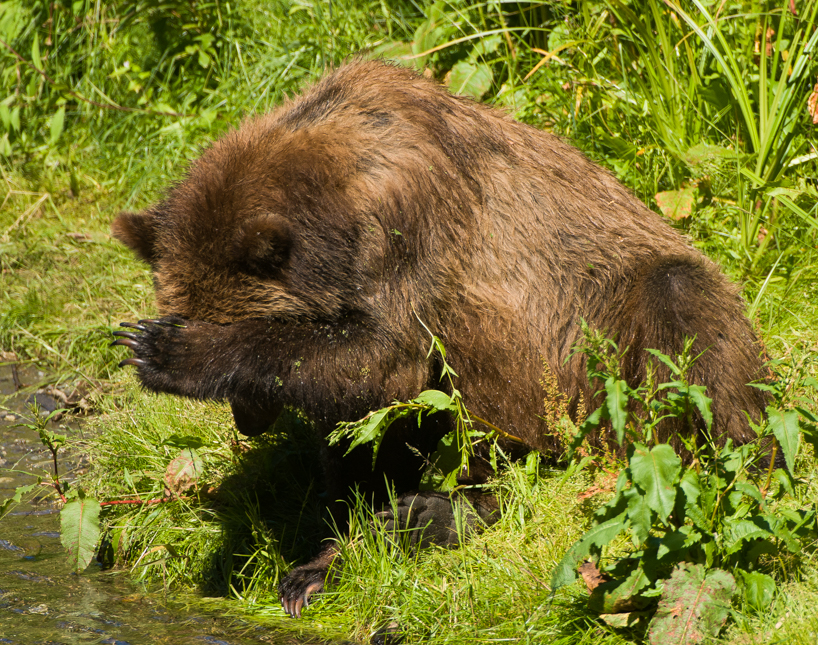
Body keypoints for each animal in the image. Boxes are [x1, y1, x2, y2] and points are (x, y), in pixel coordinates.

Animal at [110, 60, 768, 618]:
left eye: (219, 320)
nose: (247, 420)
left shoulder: (411, 223)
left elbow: (388, 358)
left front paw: (162, 350)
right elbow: (357, 419)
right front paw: (325, 552)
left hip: (602, 350)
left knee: (684, 339)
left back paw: (439, 510)